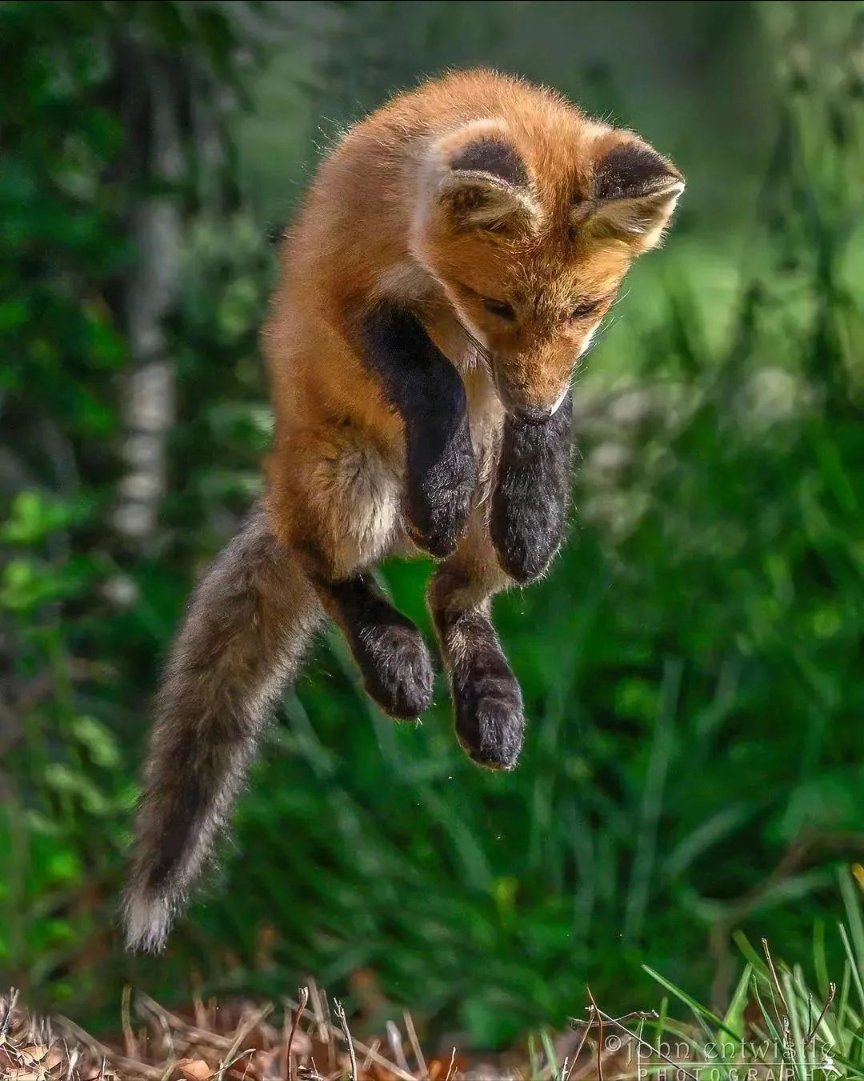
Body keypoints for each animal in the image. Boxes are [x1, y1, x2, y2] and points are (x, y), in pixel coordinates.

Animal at [123, 69, 684, 951]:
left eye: (583, 311)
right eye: (499, 305)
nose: (531, 400)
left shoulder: (543, 382)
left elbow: (538, 430)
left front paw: (530, 486)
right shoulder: (353, 294)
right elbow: (433, 376)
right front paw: (443, 478)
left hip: (464, 536)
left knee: (454, 597)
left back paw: (487, 695)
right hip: (344, 486)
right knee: (331, 571)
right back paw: (393, 656)